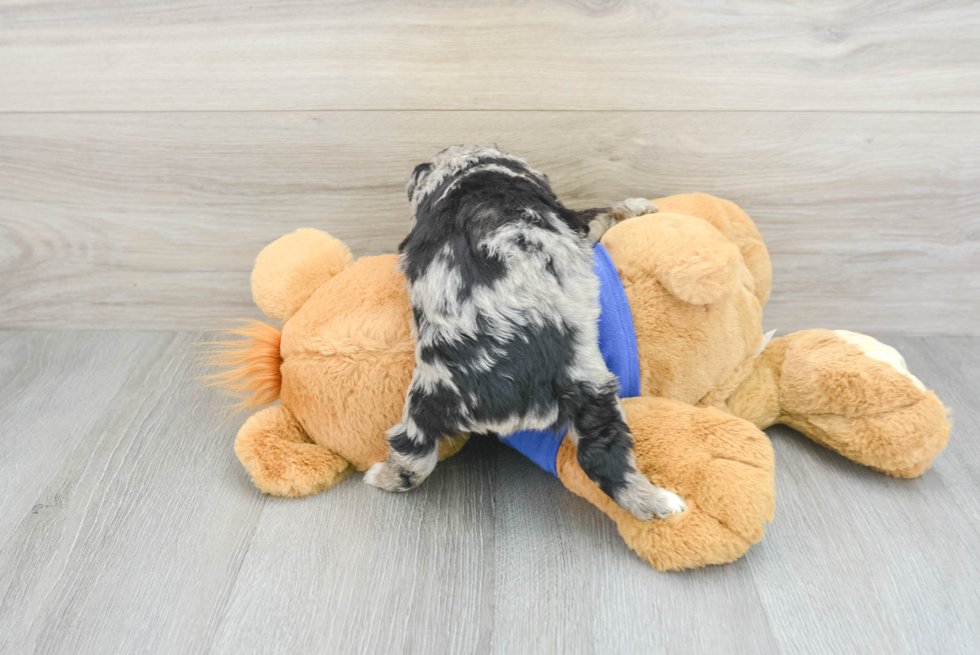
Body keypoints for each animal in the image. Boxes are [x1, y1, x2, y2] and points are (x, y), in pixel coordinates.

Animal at [362, 146, 688, 520]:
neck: (469, 172)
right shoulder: (575, 222)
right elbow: (603, 211)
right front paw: (640, 206)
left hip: (422, 403)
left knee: (412, 457)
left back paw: (380, 477)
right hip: (595, 393)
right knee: (606, 461)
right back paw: (661, 503)